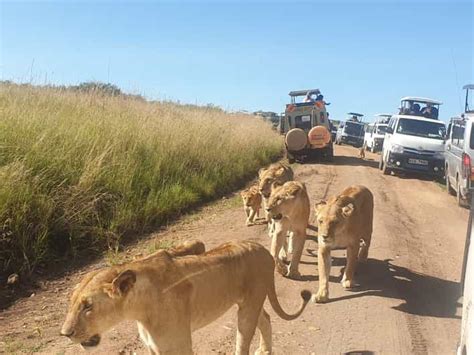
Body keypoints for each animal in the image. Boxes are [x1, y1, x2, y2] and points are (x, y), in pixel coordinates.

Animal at [60, 241, 312, 354]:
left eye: (88, 306)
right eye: (71, 303)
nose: (65, 333)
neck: (139, 310)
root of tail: (262, 247)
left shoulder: (177, 347)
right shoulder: (153, 349)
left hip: (247, 310)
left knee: (244, 340)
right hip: (249, 302)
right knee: (266, 319)